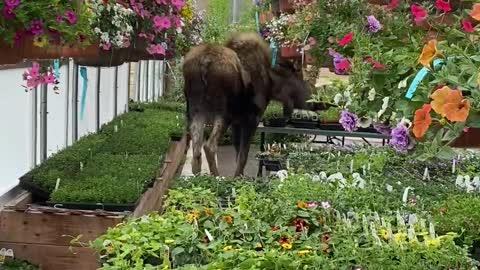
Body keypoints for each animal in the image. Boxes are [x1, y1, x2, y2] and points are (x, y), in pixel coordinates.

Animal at [182, 31, 310, 176]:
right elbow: (243, 155)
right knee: (209, 146)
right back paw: (216, 176)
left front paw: (240, 176)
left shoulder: (237, 122)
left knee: (196, 147)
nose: (311, 101)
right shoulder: (252, 118)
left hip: (195, 110)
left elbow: (238, 152)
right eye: (301, 79)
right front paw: (238, 176)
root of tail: (205, 61)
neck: (271, 84)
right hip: (223, 113)